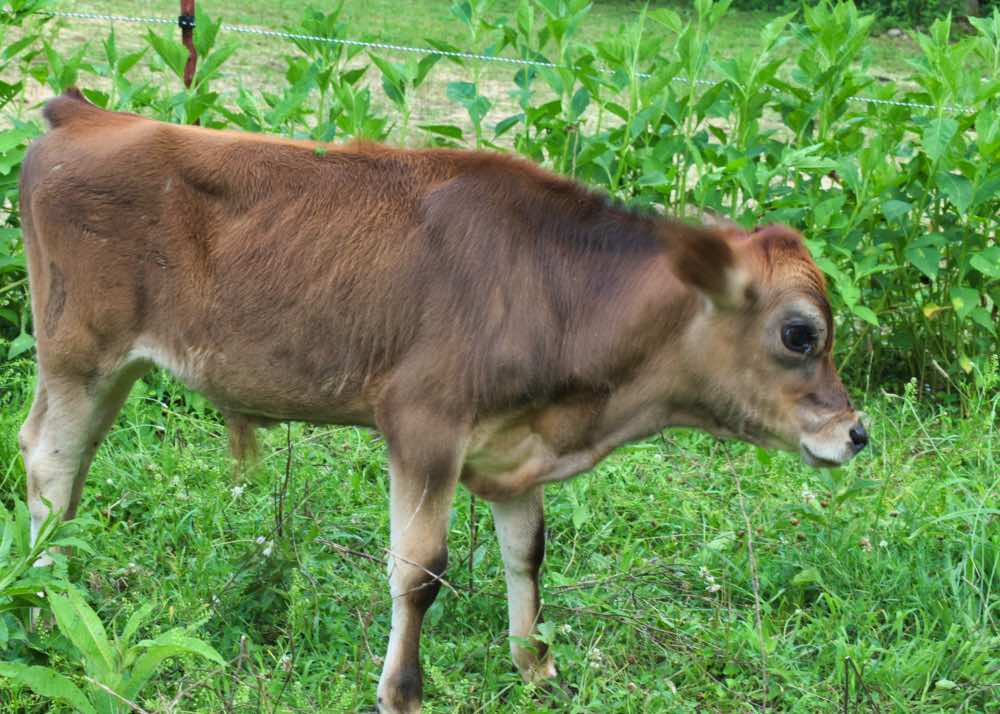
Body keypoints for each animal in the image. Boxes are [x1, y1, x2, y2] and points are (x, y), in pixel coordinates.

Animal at [17, 89, 868, 713]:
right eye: (800, 334)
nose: (856, 433)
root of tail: (87, 113)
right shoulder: (423, 425)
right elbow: (419, 570)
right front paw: (402, 691)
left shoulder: (513, 444)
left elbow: (527, 552)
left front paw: (534, 666)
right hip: (78, 350)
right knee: (51, 467)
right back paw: (45, 595)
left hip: (112, 367)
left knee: (62, 462)